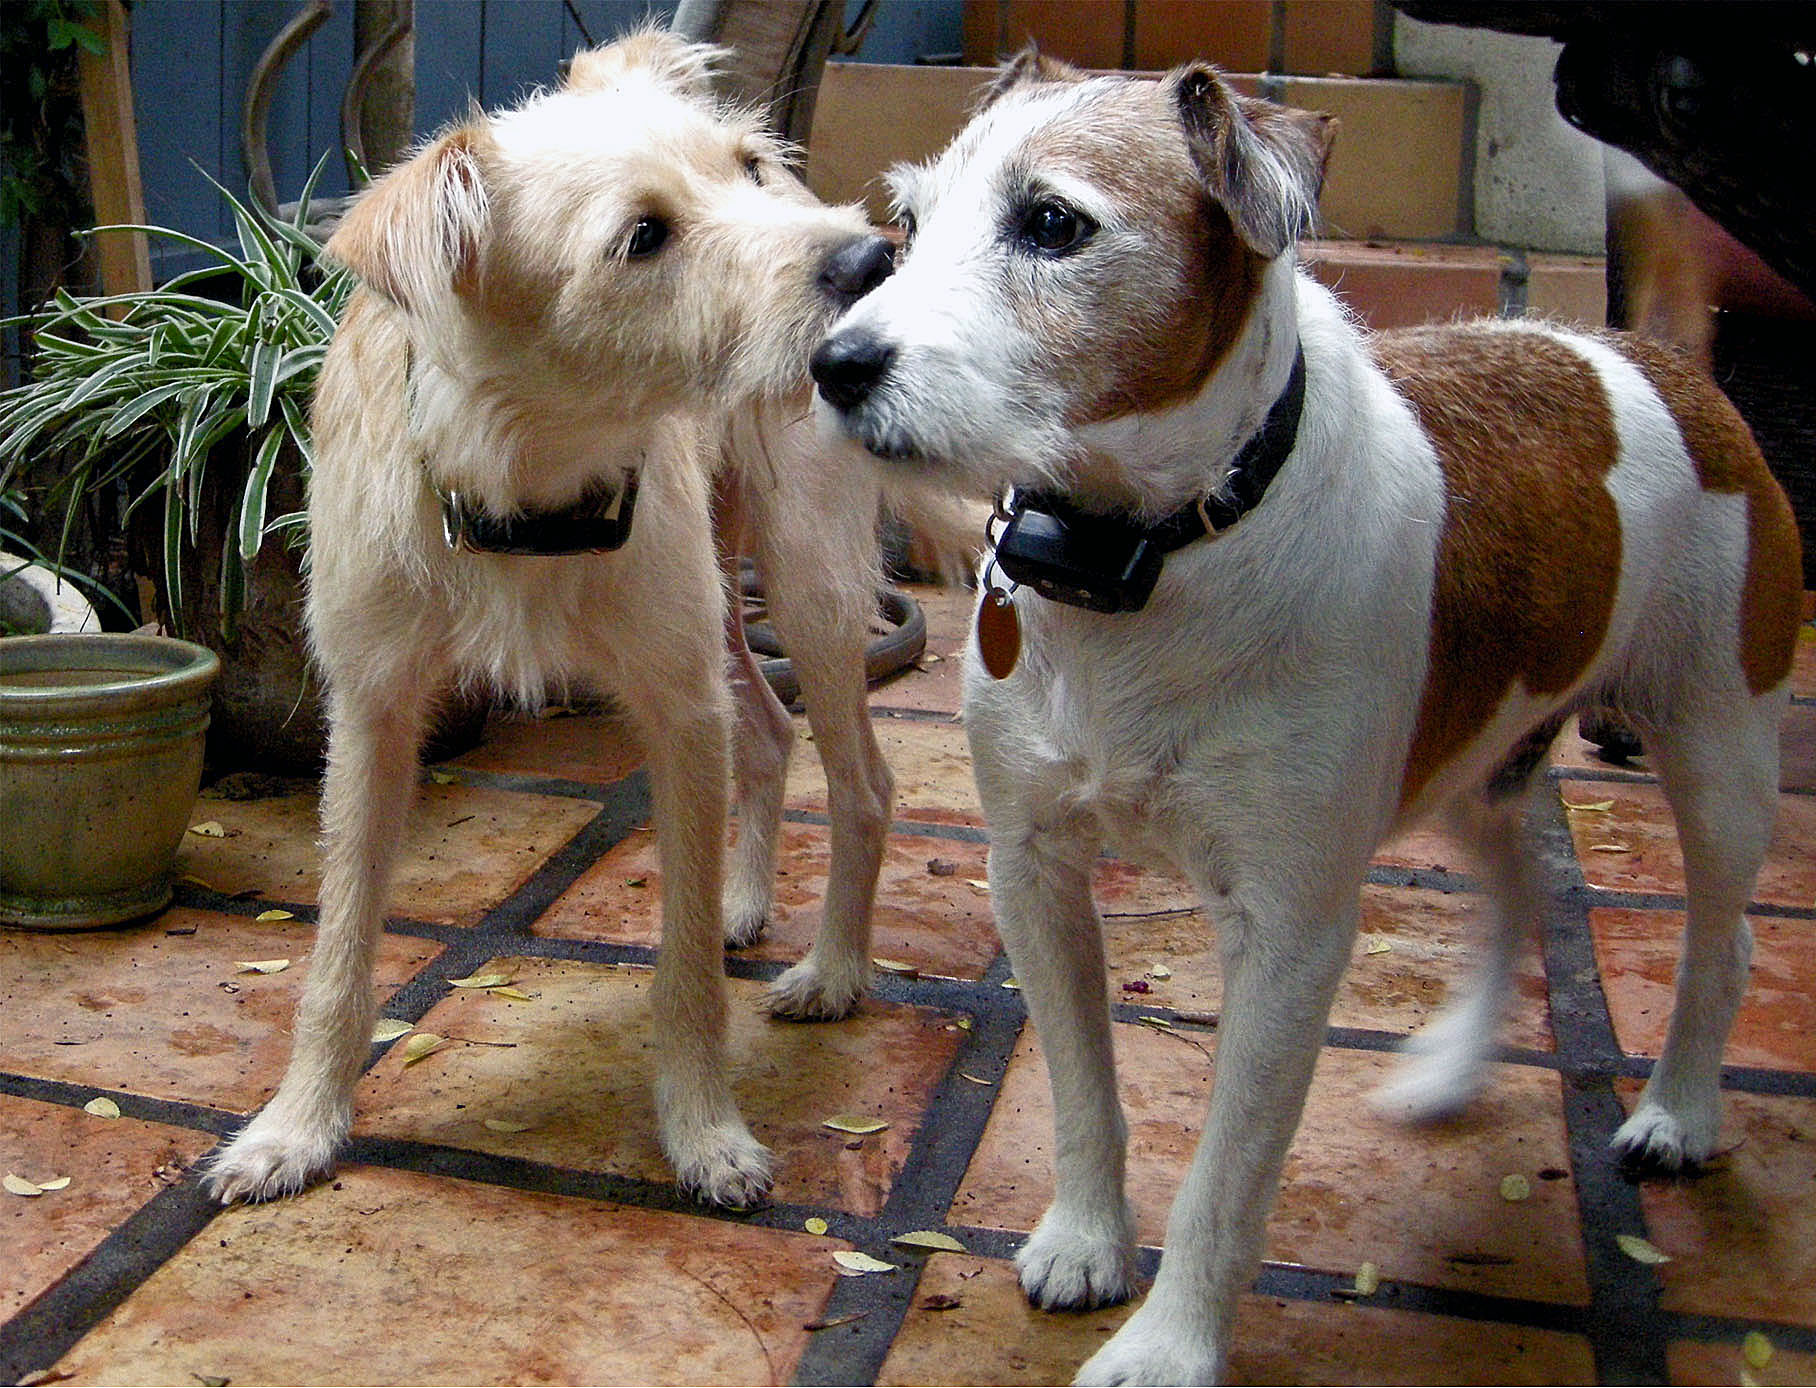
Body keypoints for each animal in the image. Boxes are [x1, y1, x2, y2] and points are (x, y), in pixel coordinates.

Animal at [205, 29, 904, 1209]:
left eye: (746, 170)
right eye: (643, 236)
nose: (872, 261)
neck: (526, 470)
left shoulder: (678, 706)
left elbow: (682, 974)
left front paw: (705, 1132)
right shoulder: (371, 713)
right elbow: (338, 949)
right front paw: (296, 1127)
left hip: (809, 584)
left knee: (862, 781)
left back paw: (834, 970)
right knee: (768, 731)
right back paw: (743, 904)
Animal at [811, 51, 1802, 1384]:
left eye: (1053, 225)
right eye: (908, 224)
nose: (834, 364)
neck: (1147, 559)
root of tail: (1648, 358)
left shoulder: (1286, 931)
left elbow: (1227, 1176)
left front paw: (1170, 1342)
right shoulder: (1030, 868)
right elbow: (1081, 1089)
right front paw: (1084, 1238)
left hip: (1715, 752)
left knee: (1723, 938)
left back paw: (1679, 1112)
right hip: (1464, 762)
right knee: (1515, 888)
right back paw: (1451, 1063)